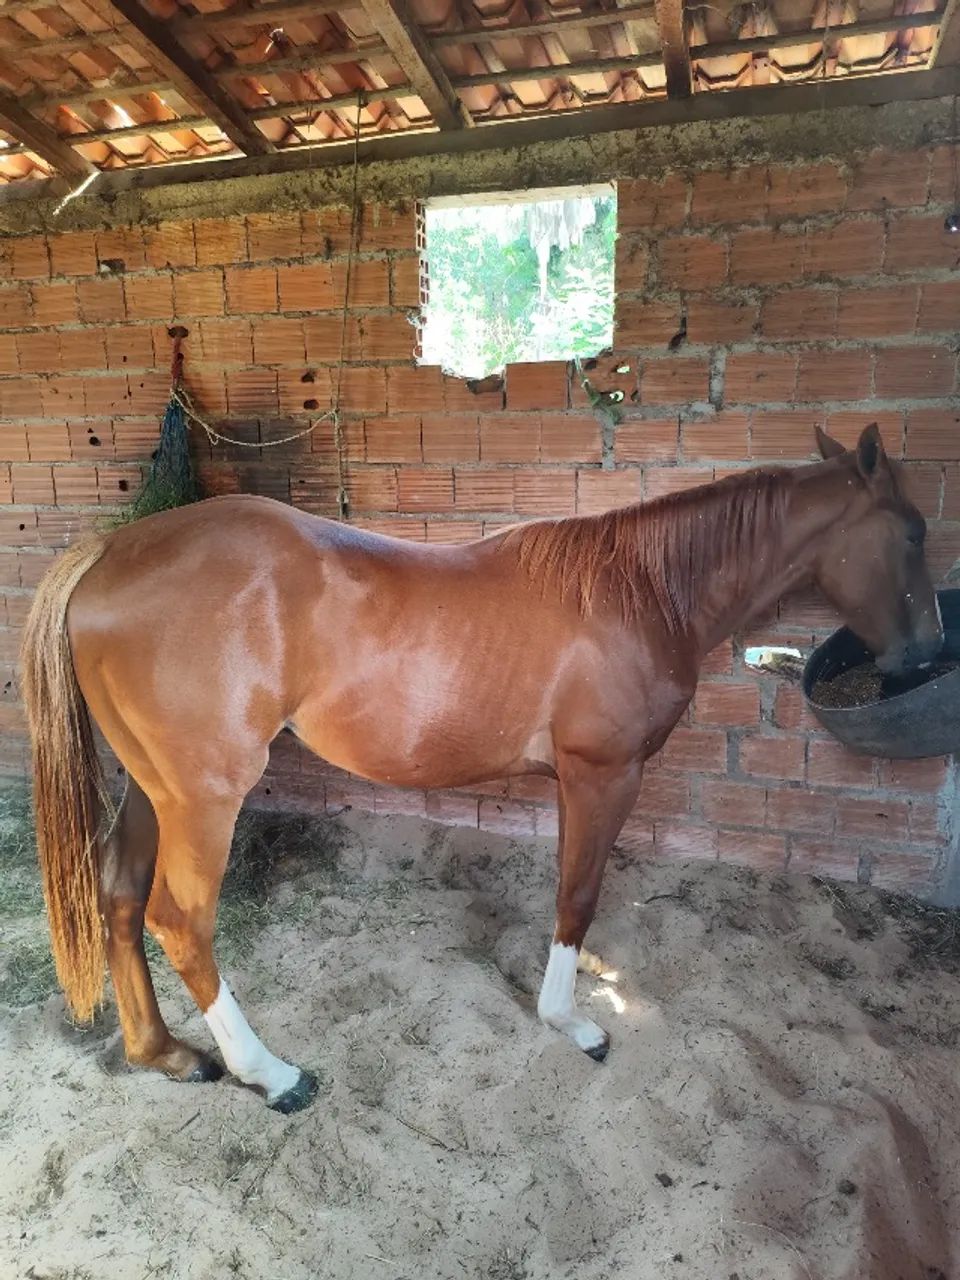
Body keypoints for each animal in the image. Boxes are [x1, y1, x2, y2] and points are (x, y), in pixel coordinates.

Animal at [20, 423, 941, 1114]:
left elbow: (568, 890)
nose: (926, 658)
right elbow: (579, 895)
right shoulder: (604, 774)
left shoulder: (577, 782)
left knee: (120, 897)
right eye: (914, 532)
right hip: (205, 796)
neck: (643, 593)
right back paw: (272, 1075)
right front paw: (572, 1023)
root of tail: (111, 551)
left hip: (155, 790)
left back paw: (164, 1054)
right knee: (182, 922)